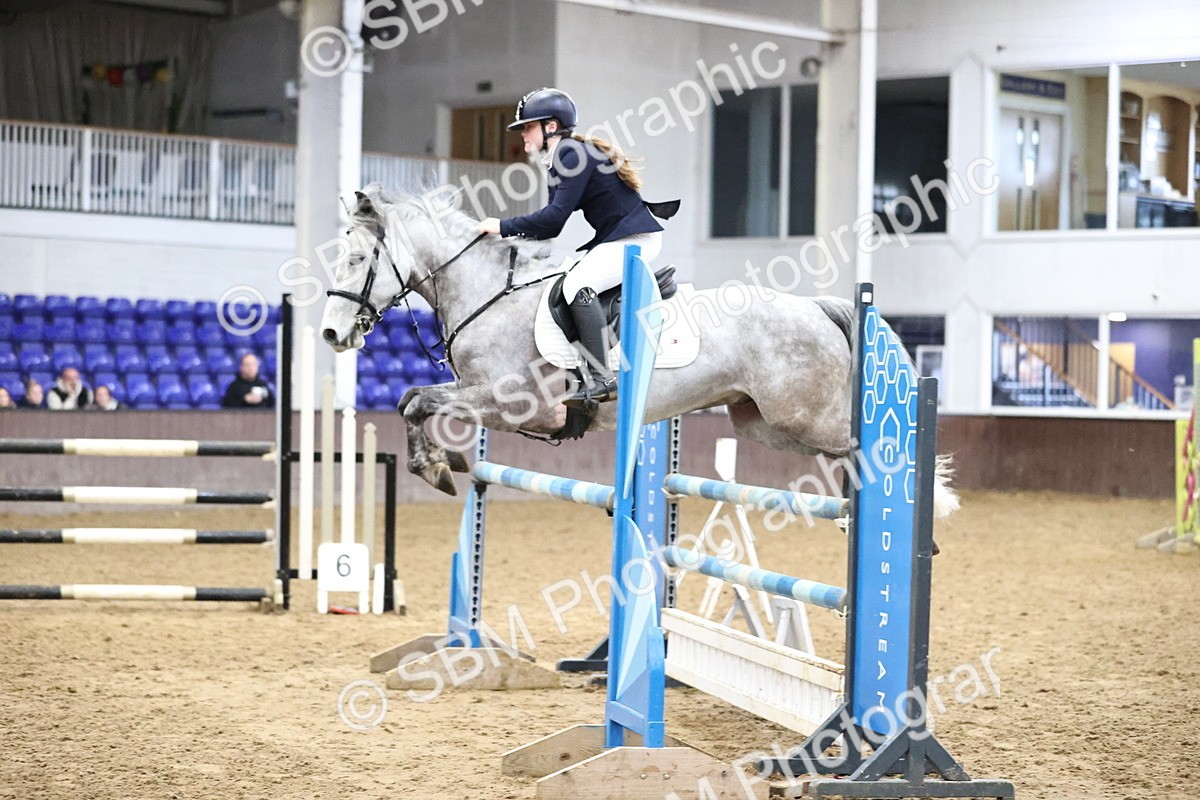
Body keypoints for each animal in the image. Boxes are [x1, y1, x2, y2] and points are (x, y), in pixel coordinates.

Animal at [319, 185, 958, 517]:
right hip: (762, 423)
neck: (488, 293)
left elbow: (419, 400)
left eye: (357, 259)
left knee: (872, 444)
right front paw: (444, 466)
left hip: (804, 415)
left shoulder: (517, 404)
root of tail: (817, 306)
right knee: (840, 449)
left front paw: (436, 467)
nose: (331, 336)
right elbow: (410, 398)